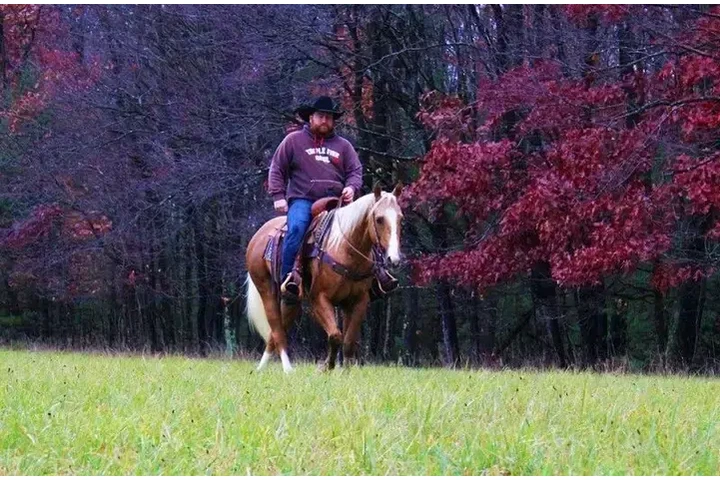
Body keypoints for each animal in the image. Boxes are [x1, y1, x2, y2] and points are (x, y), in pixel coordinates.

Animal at [244, 184, 404, 373]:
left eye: (400, 219)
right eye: (379, 219)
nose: (393, 259)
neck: (344, 249)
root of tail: (258, 236)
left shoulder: (358, 301)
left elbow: (349, 340)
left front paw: (345, 371)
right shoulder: (319, 299)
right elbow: (335, 335)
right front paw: (327, 366)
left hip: (291, 299)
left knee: (276, 332)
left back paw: (261, 369)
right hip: (266, 290)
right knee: (276, 328)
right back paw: (287, 369)